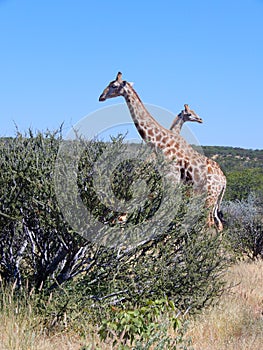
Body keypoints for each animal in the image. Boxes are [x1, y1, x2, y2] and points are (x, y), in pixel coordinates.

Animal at [99, 72, 227, 231]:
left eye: (114, 85)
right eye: (190, 113)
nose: (101, 96)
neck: (160, 143)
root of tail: (224, 180)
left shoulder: (171, 179)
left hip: (210, 195)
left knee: (209, 224)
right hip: (209, 198)